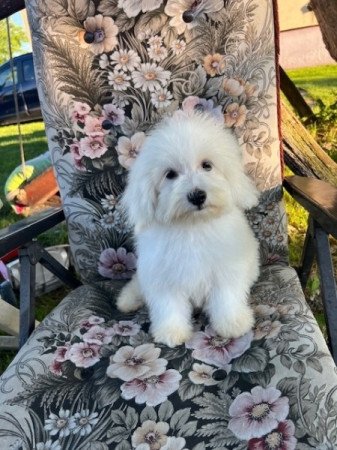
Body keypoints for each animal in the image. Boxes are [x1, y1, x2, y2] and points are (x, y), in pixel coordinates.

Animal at [117, 110, 258, 346]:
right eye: (170, 174)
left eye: (207, 165)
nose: (197, 195)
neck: (193, 226)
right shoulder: (163, 276)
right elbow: (168, 305)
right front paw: (171, 331)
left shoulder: (226, 268)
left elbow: (226, 296)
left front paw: (232, 323)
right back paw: (128, 299)